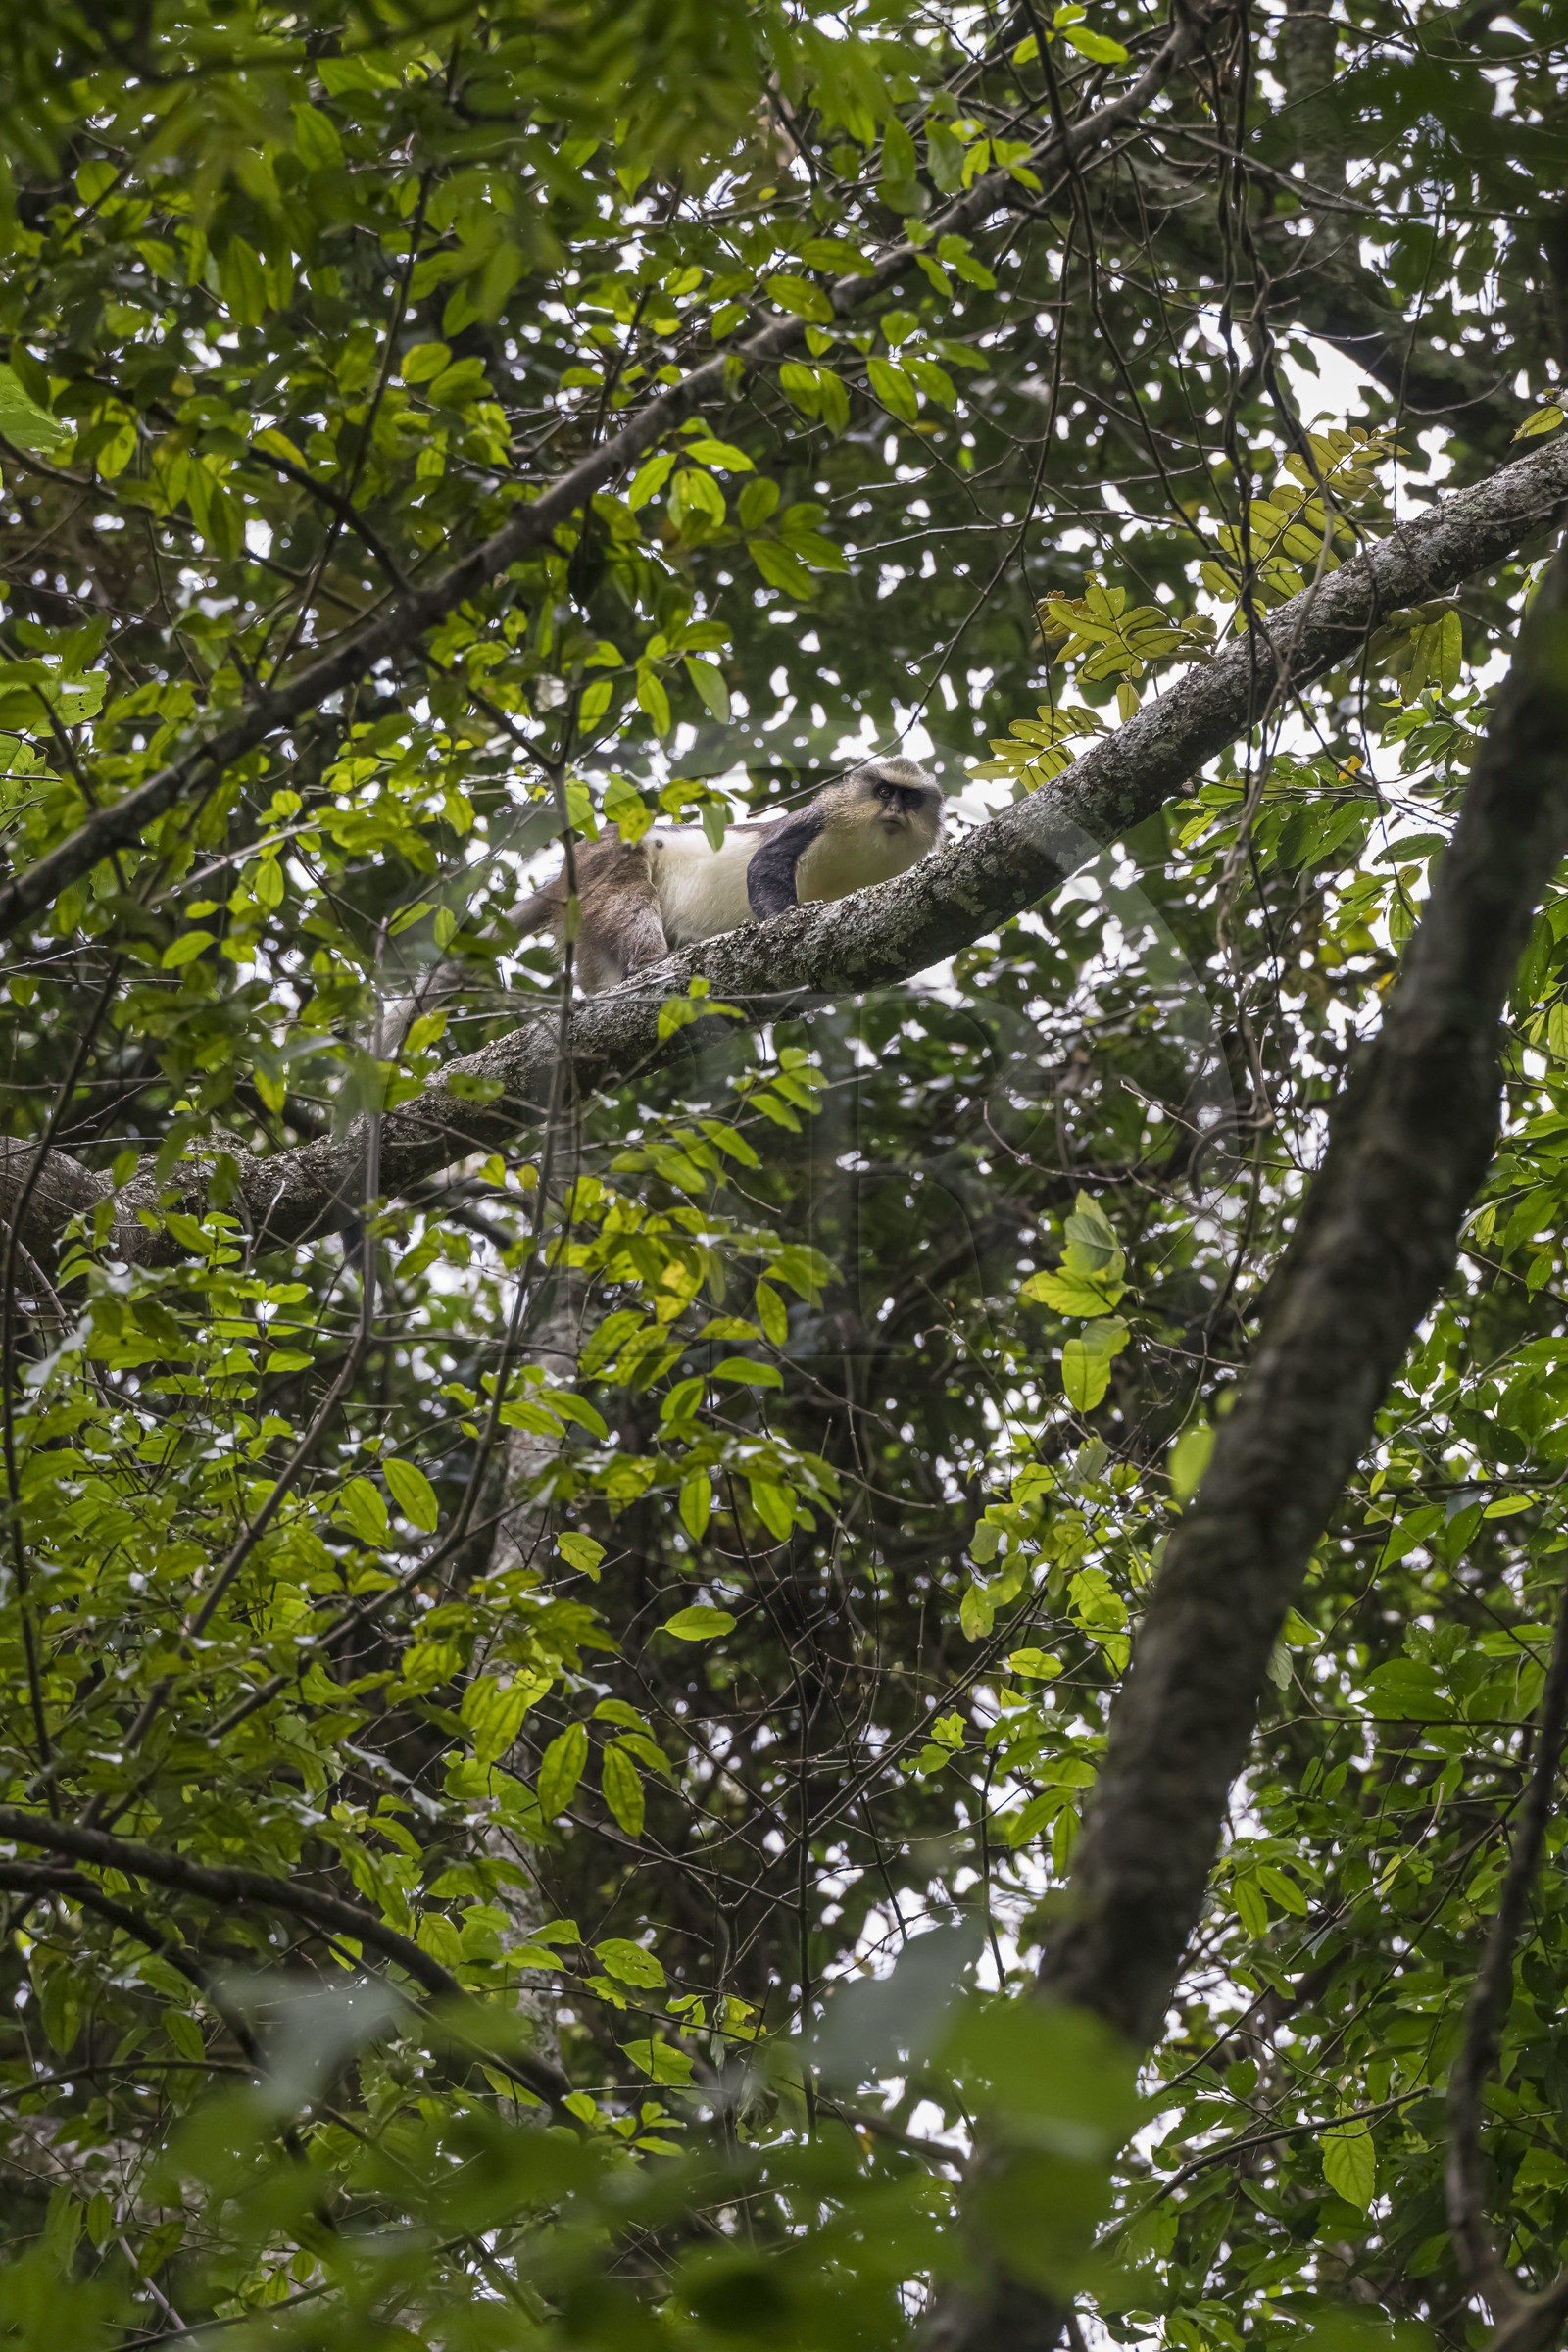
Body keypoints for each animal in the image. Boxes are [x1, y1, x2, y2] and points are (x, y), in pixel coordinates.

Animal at [510, 757, 944, 994]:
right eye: (884, 792)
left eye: (908, 798)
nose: (895, 810)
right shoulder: (819, 819)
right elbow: (766, 860)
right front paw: (785, 920)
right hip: (605, 858)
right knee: (630, 895)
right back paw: (648, 962)